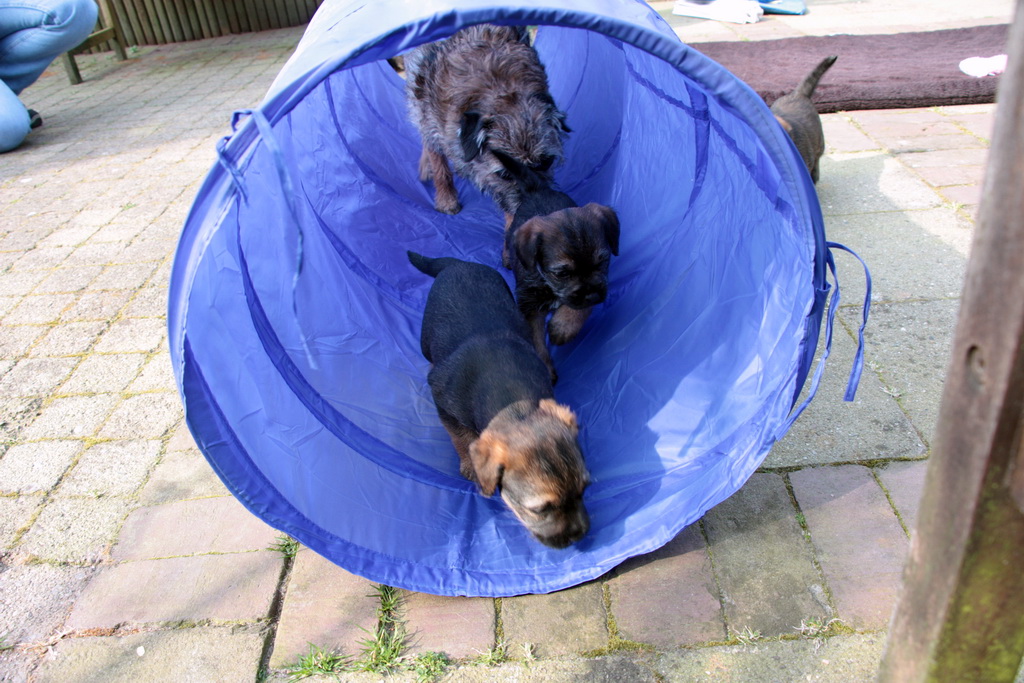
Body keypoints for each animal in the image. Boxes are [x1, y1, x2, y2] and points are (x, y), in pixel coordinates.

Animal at [404, 24, 569, 216]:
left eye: (547, 162)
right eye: (504, 175)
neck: (500, 87)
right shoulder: (428, 115)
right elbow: (439, 165)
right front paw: (446, 200)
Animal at [408, 251, 590, 549]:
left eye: (584, 489)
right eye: (539, 509)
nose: (580, 535)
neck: (513, 401)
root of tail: (459, 263)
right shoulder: (443, 402)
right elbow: (460, 436)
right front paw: (470, 465)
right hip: (426, 337)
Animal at [497, 150, 620, 384]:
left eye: (602, 262)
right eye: (562, 273)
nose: (593, 296)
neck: (547, 283)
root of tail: (537, 189)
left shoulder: (594, 287)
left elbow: (581, 306)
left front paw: (563, 327)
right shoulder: (530, 308)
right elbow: (536, 341)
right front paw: (544, 370)